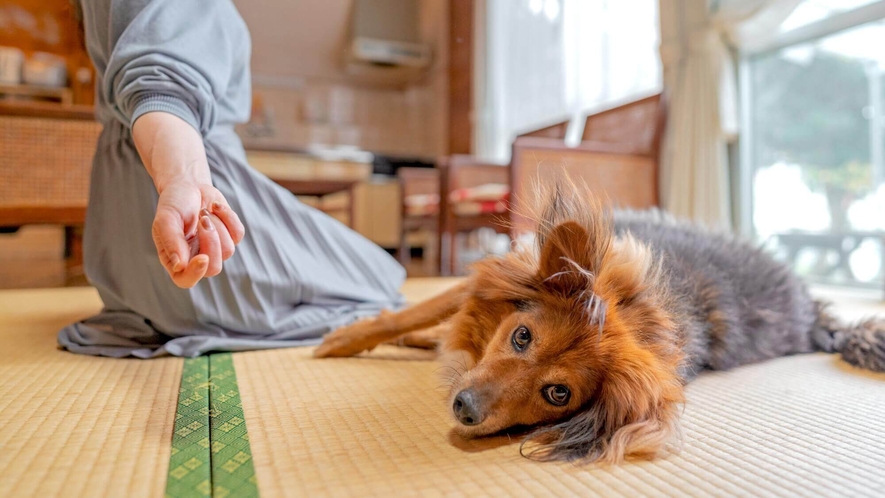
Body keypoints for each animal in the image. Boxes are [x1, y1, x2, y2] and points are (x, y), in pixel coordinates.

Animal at [312, 185, 884, 464]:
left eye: (557, 395)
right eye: (522, 336)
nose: (464, 408)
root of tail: (813, 310)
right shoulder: (492, 276)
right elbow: (412, 312)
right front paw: (341, 340)